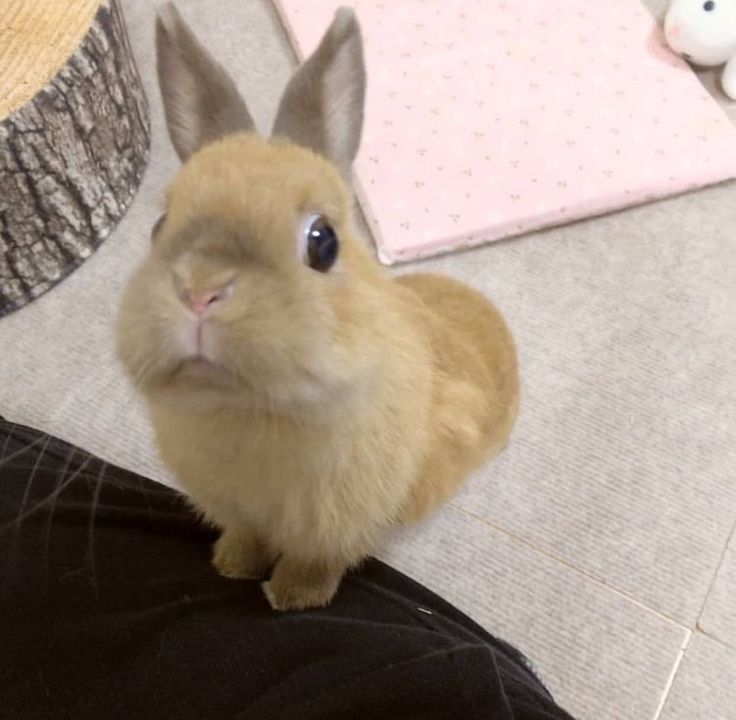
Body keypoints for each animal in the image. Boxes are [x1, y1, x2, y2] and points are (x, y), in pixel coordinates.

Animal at [116, 2, 516, 612]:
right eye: (160, 227)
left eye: (323, 241)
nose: (201, 290)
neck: (250, 411)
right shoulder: (241, 513)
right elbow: (247, 536)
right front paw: (231, 567)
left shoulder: (334, 530)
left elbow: (315, 563)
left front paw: (289, 599)